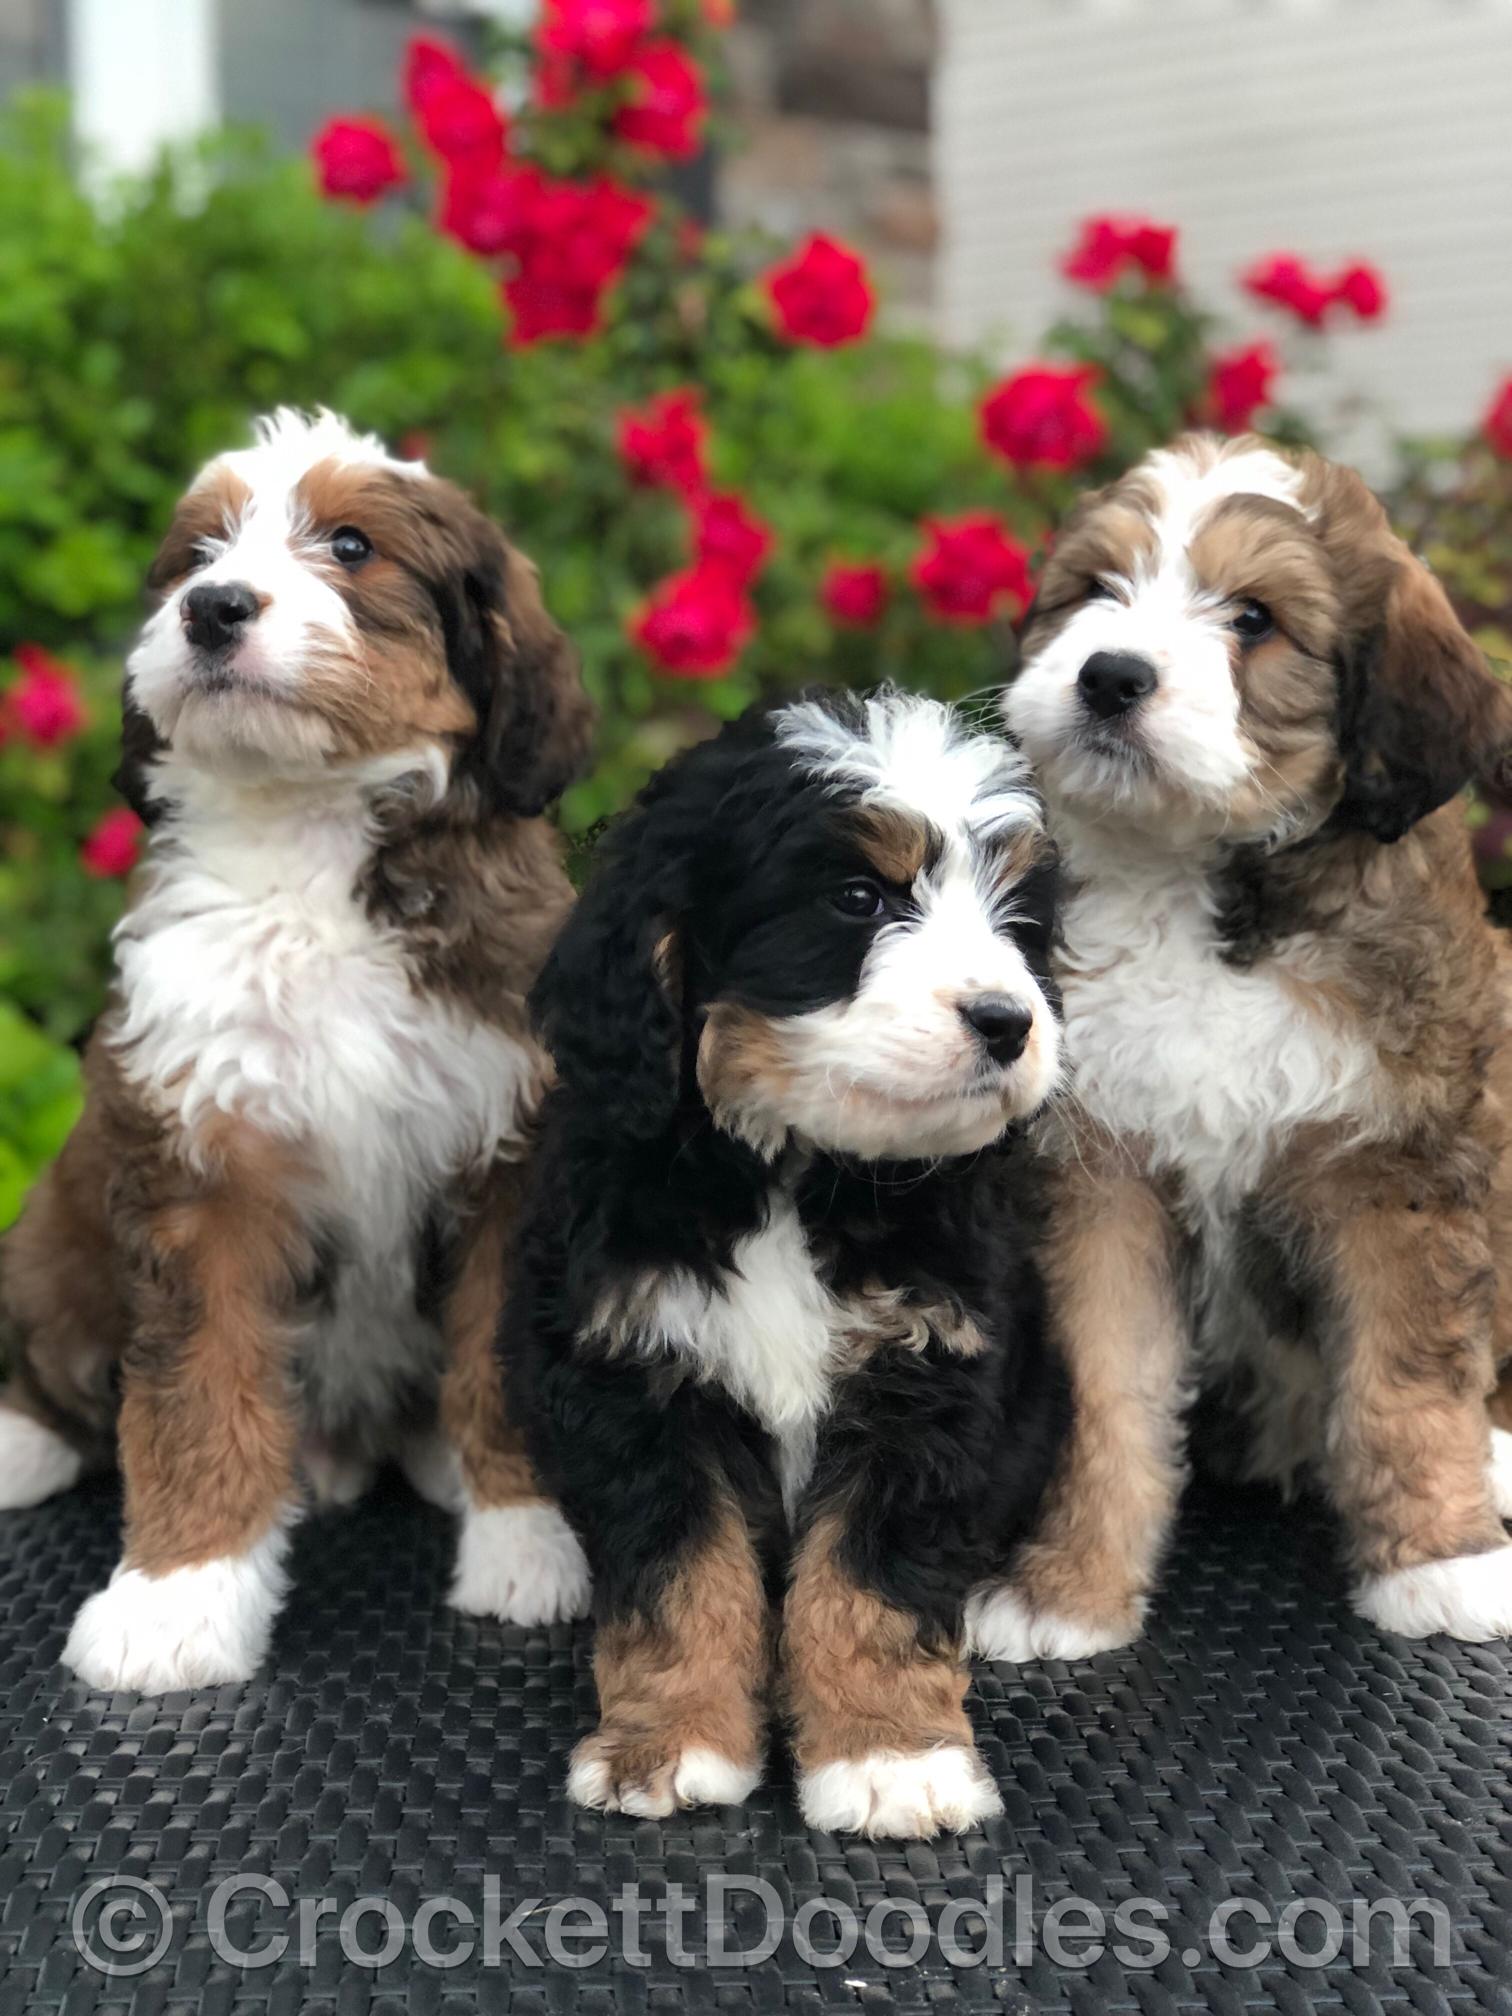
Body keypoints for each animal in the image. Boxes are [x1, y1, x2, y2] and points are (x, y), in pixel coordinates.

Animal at [0, 405, 600, 1685]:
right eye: (196, 555)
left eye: (352, 548)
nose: (214, 608)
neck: (309, 831)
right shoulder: (202, 1165)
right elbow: (199, 1388)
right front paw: (176, 1599)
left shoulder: (513, 1158)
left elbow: (501, 1366)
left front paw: (528, 1541)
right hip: (55, 1232)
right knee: (56, 1359)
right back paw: (26, 1444)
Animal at [504, 693, 1072, 1846]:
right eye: (856, 899)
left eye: (1019, 925)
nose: (1008, 1021)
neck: (796, 1173)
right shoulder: (633, 1375)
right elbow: (681, 1572)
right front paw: (670, 1742)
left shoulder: (930, 1375)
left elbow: (870, 1578)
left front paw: (890, 1758)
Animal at [971, 425, 1512, 1653]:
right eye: (1096, 590)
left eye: (1255, 618)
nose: (1109, 675)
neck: (1195, 872)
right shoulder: (1102, 1176)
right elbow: (1103, 1393)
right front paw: (1067, 1588)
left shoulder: (1394, 1167)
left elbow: (1408, 1378)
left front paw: (1441, 1565)